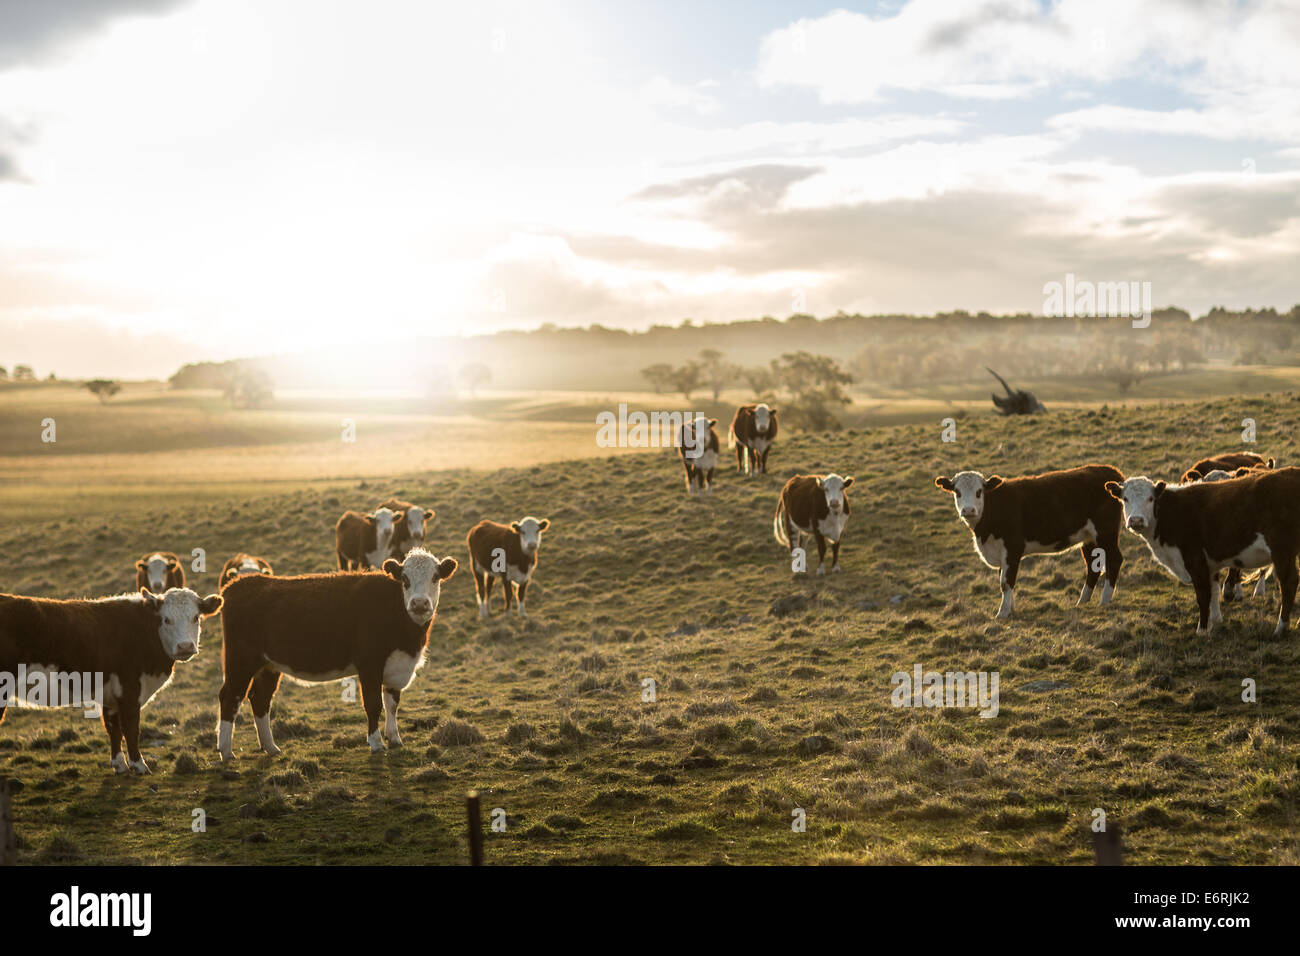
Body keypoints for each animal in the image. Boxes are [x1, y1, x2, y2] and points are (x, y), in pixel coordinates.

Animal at [0, 587, 220, 775]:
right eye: (166, 619)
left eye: (196, 617)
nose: (185, 646)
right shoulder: (129, 689)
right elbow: (131, 728)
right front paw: (139, 765)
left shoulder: (111, 695)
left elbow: (113, 729)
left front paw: (120, 765)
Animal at [214, 548, 457, 759]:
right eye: (405, 579)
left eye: (435, 577)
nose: (419, 603)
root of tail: (240, 583)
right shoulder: (369, 663)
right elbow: (373, 704)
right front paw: (376, 743)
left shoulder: (397, 664)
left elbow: (392, 704)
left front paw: (395, 739)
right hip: (241, 660)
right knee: (231, 697)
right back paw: (226, 752)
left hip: (268, 665)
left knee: (260, 699)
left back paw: (270, 747)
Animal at [935, 465, 1128, 621]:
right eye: (957, 492)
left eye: (979, 491)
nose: (968, 510)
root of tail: (1111, 471)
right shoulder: (1001, 553)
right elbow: (1005, 580)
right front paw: (1011, 609)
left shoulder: (1012, 548)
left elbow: (1006, 582)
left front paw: (1003, 613)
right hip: (1088, 538)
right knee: (1092, 567)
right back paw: (1082, 602)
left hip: (1106, 533)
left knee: (1114, 560)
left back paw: (1104, 601)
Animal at [1102, 468, 1300, 634]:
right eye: (1125, 499)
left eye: (1150, 499)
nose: (1136, 520)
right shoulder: (1209, 564)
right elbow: (1213, 592)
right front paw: (1215, 621)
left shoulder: (1195, 560)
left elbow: (1203, 595)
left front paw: (1202, 630)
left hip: (1282, 550)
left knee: (1289, 583)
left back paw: (1281, 628)